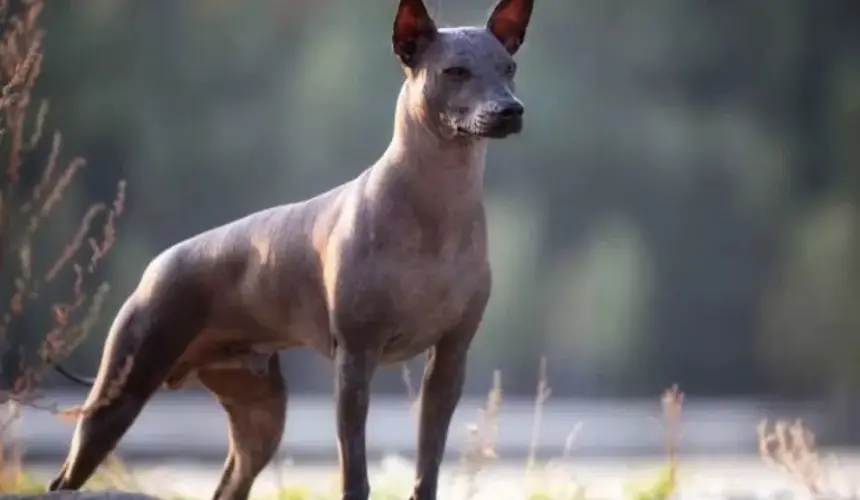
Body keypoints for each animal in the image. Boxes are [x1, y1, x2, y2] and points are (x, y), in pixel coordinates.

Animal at [50, 1, 536, 498]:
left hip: (259, 413)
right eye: (456, 71)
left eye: (509, 68)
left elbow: (428, 466)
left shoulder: (449, 361)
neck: (438, 203)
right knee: (64, 479)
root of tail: (156, 266)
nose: (510, 110)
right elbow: (354, 470)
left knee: (231, 483)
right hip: (121, 392)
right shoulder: (355, 360)